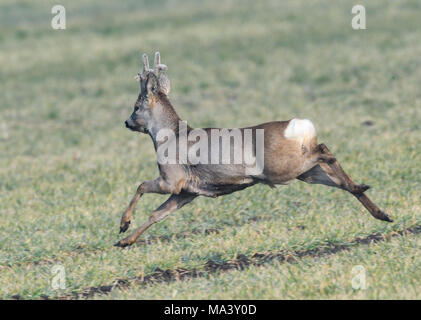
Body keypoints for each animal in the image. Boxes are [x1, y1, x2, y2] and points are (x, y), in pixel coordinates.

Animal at [114, 52, 390, 248]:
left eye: (136, 106)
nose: (127, 122)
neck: (167, 136)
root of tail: (302, 127)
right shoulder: (187, 192)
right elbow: (157, 215)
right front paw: (125, 241)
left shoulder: (172, 179)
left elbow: (140, 186)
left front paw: (123, 225)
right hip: (305, 172)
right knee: (338, 178)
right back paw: (379, 209)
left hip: (282, 167)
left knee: (324, 150)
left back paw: (364, 191)